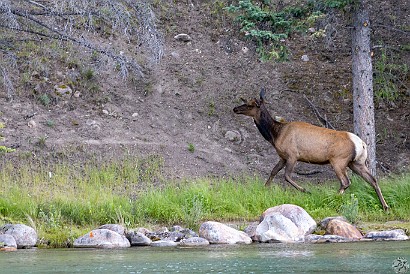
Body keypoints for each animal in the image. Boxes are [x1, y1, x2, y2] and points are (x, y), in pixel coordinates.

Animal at [232, 89, 390, 211]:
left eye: (250, 104)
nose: (235, 109)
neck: (274, 134)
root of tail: (361, 144)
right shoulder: (282, 156)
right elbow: (273, 172)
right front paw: (265, 189)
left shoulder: (292, 155)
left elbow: (286, 176)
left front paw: (306, 191)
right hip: (356, 163)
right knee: (373, 179)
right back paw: (385, 206)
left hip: (338, 161)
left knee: (346, 182)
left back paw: (331, 199)